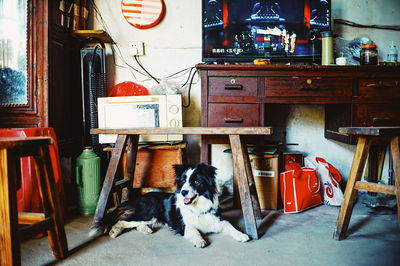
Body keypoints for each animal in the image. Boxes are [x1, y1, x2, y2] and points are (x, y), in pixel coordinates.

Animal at [89, 163, 248, 248]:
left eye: (196, 182)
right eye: (183, 181)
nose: (183, 192)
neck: (197, 208)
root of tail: (139, 198)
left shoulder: (216, 219)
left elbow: (230, 225)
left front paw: (242, 235)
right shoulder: (184, 225)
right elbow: (194, 230)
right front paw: (199, 240)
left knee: (134, 223)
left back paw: (145, 229)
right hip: (150, 211)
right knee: (122, 220)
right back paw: (114, 231)